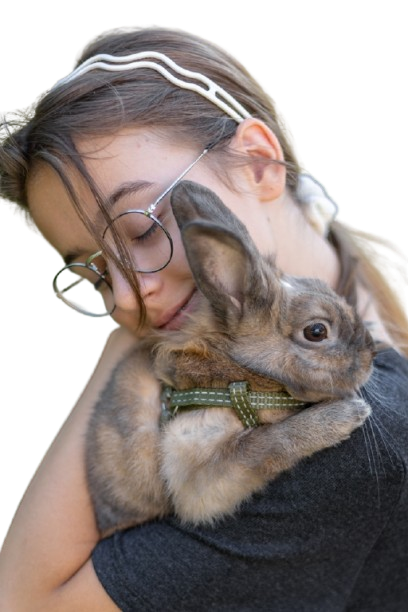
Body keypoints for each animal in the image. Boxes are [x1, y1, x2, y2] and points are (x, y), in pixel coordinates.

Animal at [85, 180, 375, 538]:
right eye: (317, 331)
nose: (371, 354)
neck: (236, 376)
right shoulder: (199, 463)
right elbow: (270, 443)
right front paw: (345, 415)